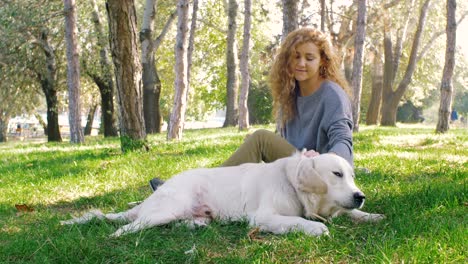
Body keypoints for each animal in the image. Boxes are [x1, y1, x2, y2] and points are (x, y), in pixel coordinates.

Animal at [61, 153, 384, 237]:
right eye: (336, 174)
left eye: (352, 176)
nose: (360, 195)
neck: (293, 184)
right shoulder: (263, 217)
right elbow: (298, 221)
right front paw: (316, 228)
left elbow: (353, 213)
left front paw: (371, 214)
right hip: (167, 208)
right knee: (127, 226)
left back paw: (194, 224)